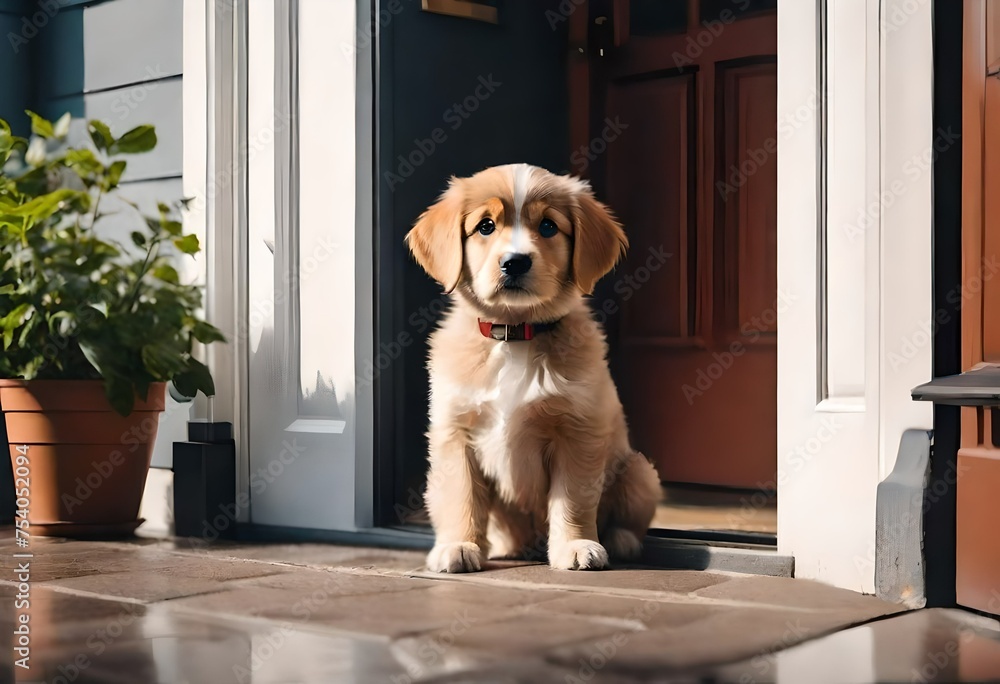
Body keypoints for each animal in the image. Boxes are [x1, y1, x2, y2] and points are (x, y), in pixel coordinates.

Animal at [406, 162, 664, 572]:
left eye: (547, 226)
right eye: (485, 226)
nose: (514, 262)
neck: (516, 334)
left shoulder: (576, 431)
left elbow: (572, 498)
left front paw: (575, 545)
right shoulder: (455, 431)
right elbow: (460, 494)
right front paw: (459, 545)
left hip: (639, 471)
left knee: (628, 518)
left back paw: (620, 541)